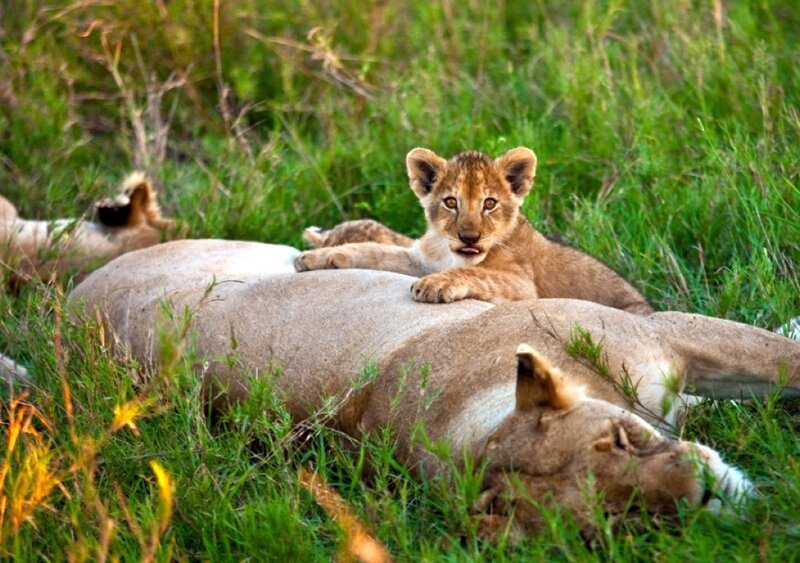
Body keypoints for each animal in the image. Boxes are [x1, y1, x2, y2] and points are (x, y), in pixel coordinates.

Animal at [69, 239, 800, 538]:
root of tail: (70, 299)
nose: (704, 494)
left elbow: (786, 362)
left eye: (622, 439)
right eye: (618, 518)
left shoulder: (670, 334)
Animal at [295, 148, 652, 314]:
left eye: (489, 203)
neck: (449, 253)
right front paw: (315, 257)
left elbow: (476, 274)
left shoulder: (524, 286)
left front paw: (435, 285)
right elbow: (371, 250)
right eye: (451, 202)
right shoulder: (419, 259)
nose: (469, 237)